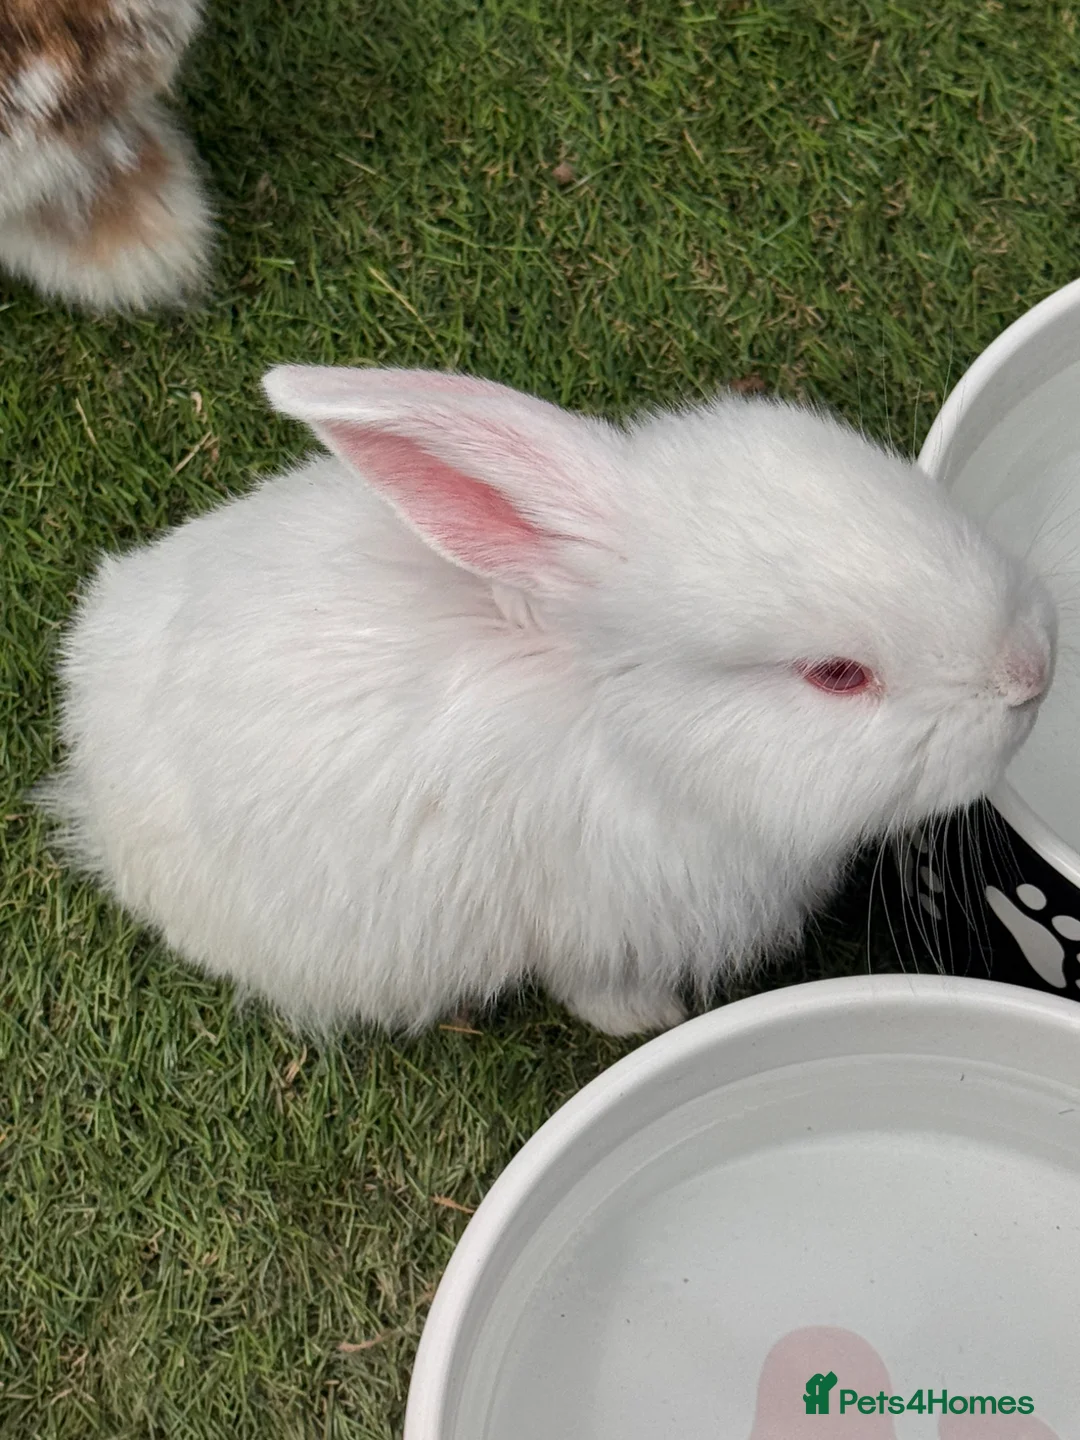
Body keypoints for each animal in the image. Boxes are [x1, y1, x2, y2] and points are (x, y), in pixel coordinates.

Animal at [35, 366, 1056, 1036]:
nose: (1032, 672)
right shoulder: (600, 927)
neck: (635, 737)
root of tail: (86, 751)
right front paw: (646, 1023)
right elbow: (596, 989)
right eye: (836, 675)